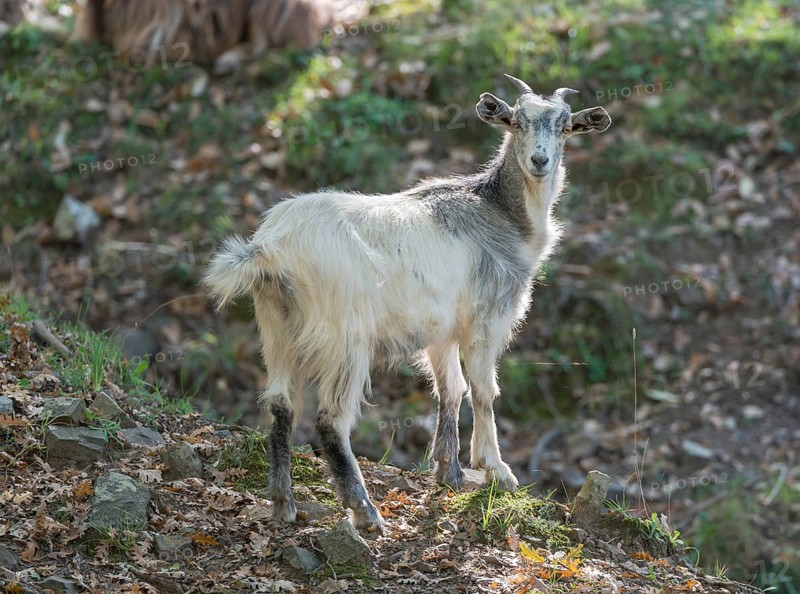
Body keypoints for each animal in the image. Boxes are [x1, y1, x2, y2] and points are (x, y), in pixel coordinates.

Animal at [204, 75, 611, 533]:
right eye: (516, 122)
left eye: (564, 126)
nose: (540, 161)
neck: (502, 214)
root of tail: (270, 248)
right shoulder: (487, 319)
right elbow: (484, 390)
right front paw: (496, 469)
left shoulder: (441, 332)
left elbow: (452, 388)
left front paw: (449, 472)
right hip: (345, 338)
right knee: (330, 420)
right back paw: (364, 511)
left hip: (276, 327)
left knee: (280, 405)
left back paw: (283, 503)